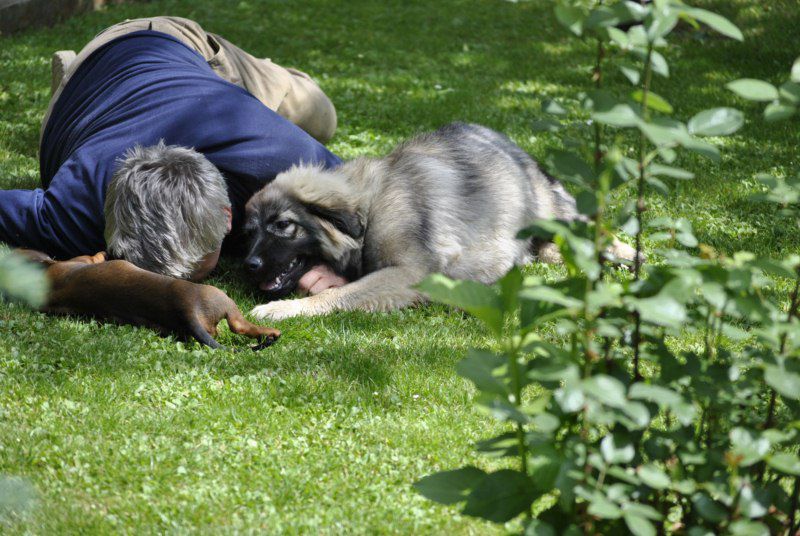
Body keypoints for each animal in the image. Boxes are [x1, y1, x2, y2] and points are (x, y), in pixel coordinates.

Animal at [247, 123, 636, 320]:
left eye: (283, 225)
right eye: (250, 231)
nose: (249, 265)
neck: (369, 208)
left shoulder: (410, 273)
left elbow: (339, 293)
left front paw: (284, 308)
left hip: (552, 214)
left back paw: (630, 257)